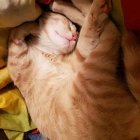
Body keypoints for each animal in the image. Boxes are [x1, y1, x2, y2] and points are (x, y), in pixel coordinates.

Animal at [7, 0, 140, 139]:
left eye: (75, 30)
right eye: (70, 26)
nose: (75, 36)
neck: (48, 53)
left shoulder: (79, 56)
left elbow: (86, 29)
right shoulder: (16, 60)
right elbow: (14, 35)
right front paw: (32, 25)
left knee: (109, 29)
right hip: (91, 71)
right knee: (111, 29)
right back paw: (90, 5)